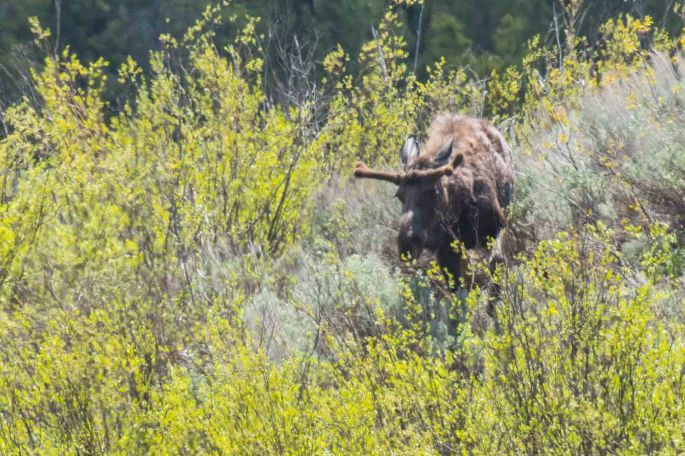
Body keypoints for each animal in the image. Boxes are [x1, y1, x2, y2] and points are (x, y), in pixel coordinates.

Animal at [354, 113, 515, 296]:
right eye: (399, 195)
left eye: (433, 191)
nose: (407, 244)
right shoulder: (445, 250)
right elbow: (460, 289)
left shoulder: (497, 226)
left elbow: (498, 263)